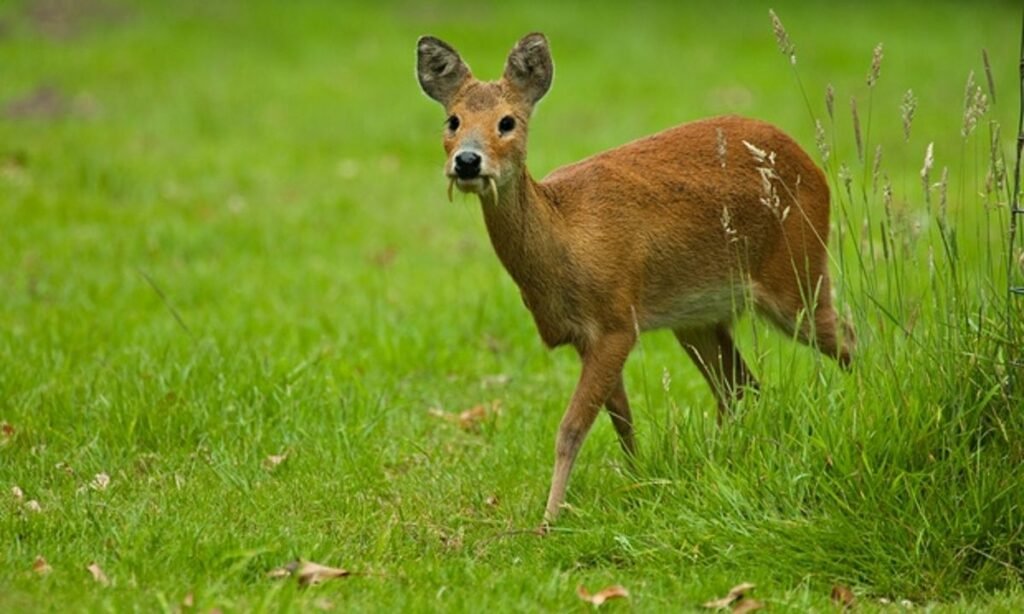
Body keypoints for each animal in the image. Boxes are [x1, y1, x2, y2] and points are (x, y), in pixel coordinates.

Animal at [415, 33, 855, 528]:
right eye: (452, 120)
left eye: (506, 122)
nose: (468, 161)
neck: (566, 238)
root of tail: (815, 167)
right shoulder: (586, 335)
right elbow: (620, 418)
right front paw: (637, 478)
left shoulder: (617, 321)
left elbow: (571, 427)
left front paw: (549, 519)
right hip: (699, 319)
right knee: (741, 387)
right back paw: (725, 456)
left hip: (798, 274)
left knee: (846, 337)